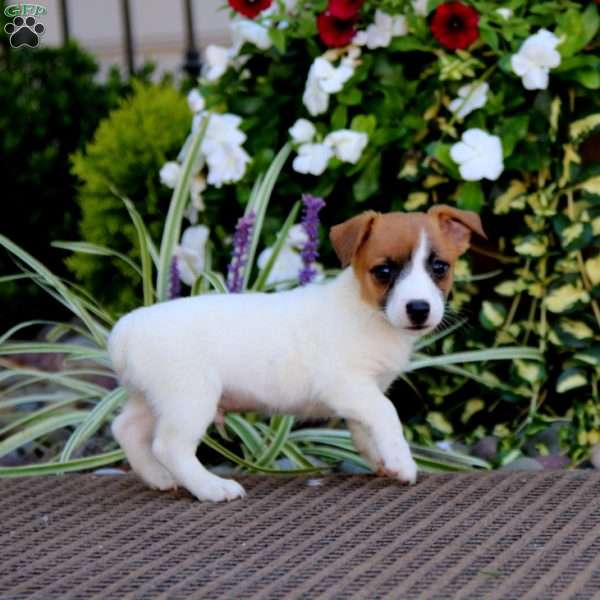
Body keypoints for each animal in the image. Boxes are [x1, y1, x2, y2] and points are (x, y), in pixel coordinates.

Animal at [109, 206, 488, 502]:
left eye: (439, 267)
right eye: (384, 271)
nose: (419, 308)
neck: (367, 311)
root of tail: (124, 329)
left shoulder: (363, 395)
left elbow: (366, 430)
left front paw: (383, 460)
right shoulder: (348, 386)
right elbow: (388, 414)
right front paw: (402, 462)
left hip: (152, 399)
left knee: (126, 429)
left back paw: (158, 478)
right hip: (190, 399)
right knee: (169, 446)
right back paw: (212, 487)